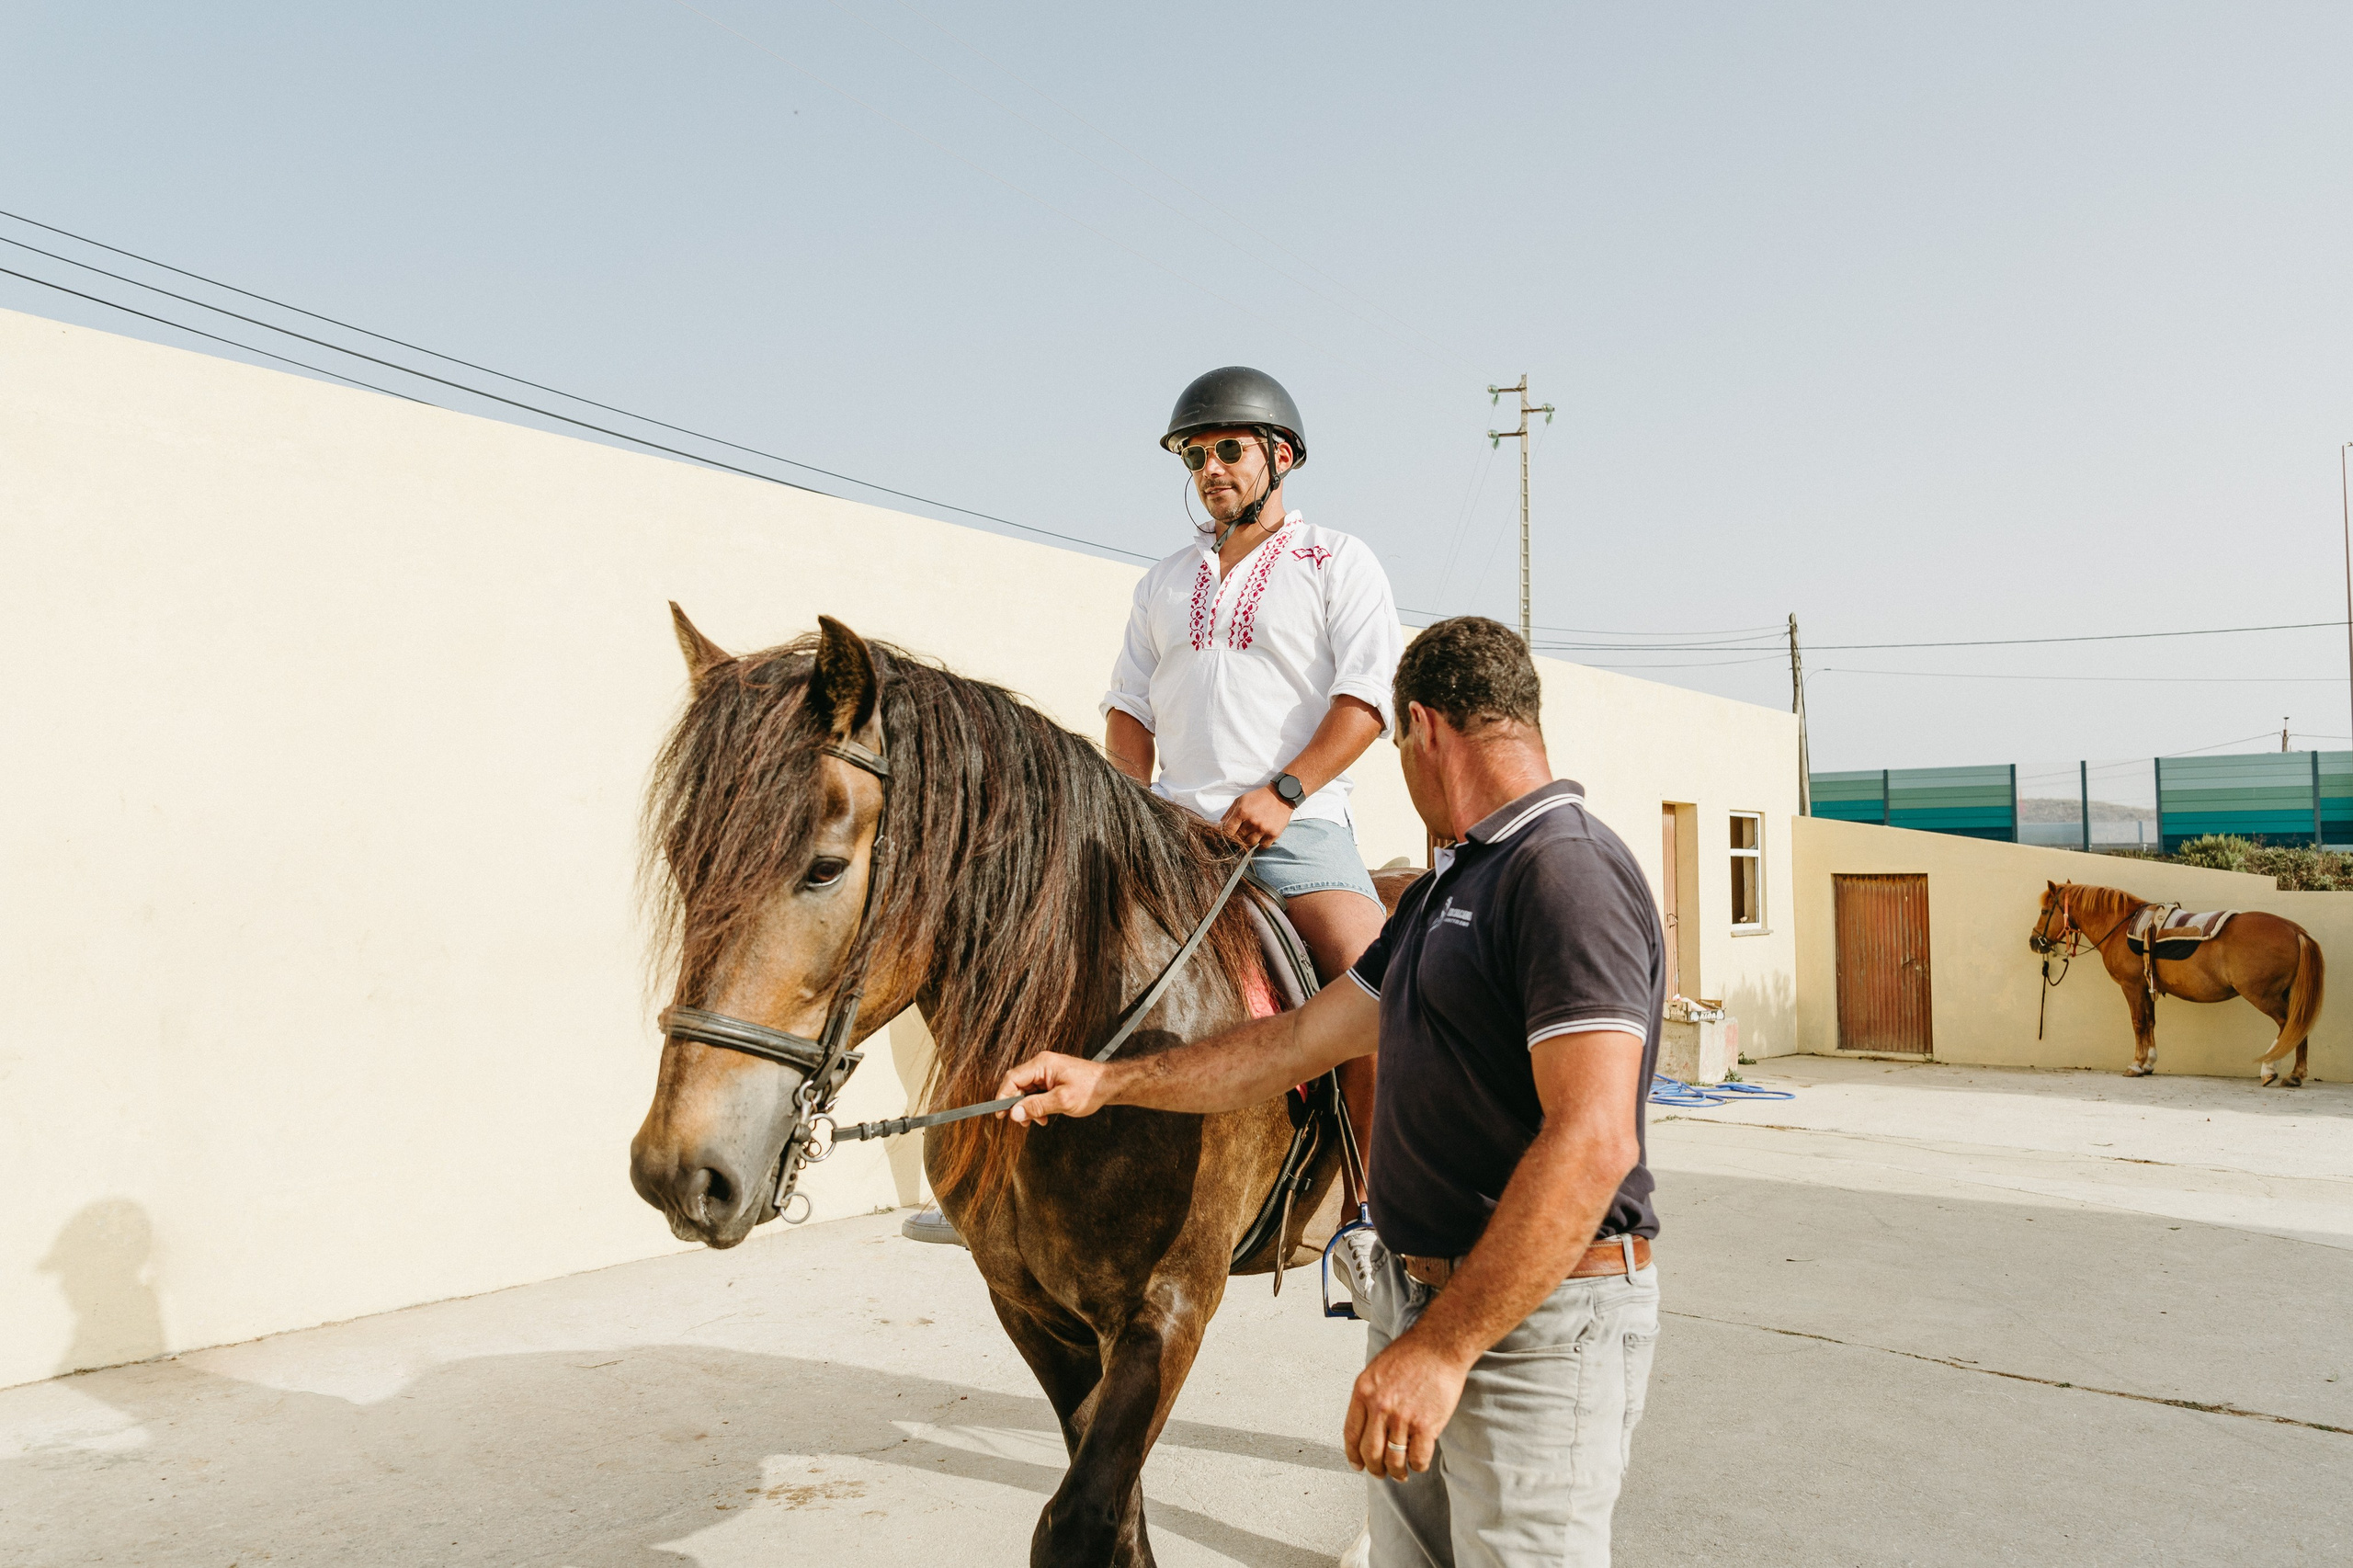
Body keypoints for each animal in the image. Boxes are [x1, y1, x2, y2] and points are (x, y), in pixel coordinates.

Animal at [628, 610, 1397, 1565]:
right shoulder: (1033, 1312)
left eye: (824, 868)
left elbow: (1080, 1519)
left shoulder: (1172, 1309)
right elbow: (1120, 1515)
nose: (680, 1173)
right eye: (682, 858)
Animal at [2028, 880, 2324, 1085]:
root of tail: (2296, 931)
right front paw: (2149, 1063)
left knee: (2288, 1025)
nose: (2034, 942)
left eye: (2045, 910)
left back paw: (2271, 1070)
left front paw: (2135, 1065)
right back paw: (2296, 1075)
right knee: (2297, 1026)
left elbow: (2138, 1023)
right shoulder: (2146, 986)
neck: (2120, 926)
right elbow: (2150, 1022)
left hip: (2264, 996)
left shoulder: (2131, 986)